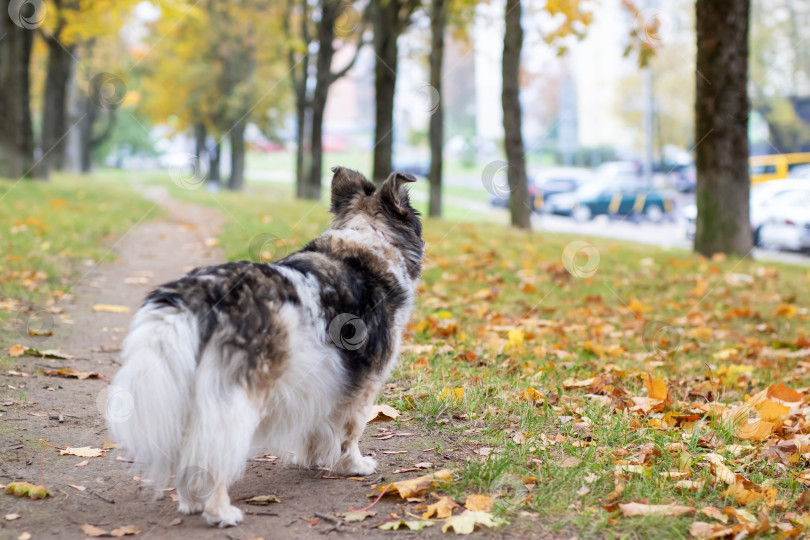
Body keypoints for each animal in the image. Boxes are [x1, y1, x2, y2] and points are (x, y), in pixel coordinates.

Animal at [105, 167, 422, 524]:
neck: (370, 238)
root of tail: (201, 290)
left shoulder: (324, 379)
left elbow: (317, 427)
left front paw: (312, 459)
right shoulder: (363, 382)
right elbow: (350, 430)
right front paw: (353, 465)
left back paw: (191, 501)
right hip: (238, 398)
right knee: (216, 451)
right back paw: (219, 511)